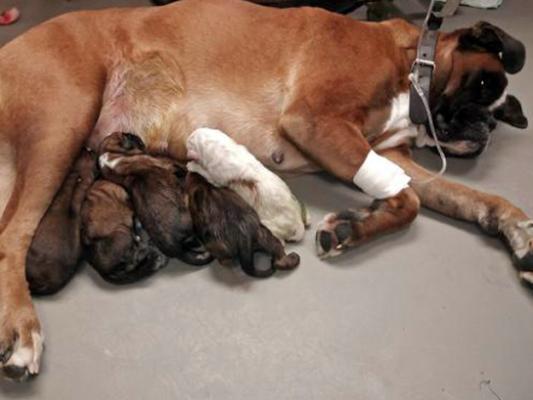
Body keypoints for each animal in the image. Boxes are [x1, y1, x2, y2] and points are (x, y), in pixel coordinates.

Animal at [97, 133, 212, 268]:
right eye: (125, 135)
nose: (133, 134)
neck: (110, 157)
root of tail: (176, 249)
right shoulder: (167, 164)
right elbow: (181, 166)